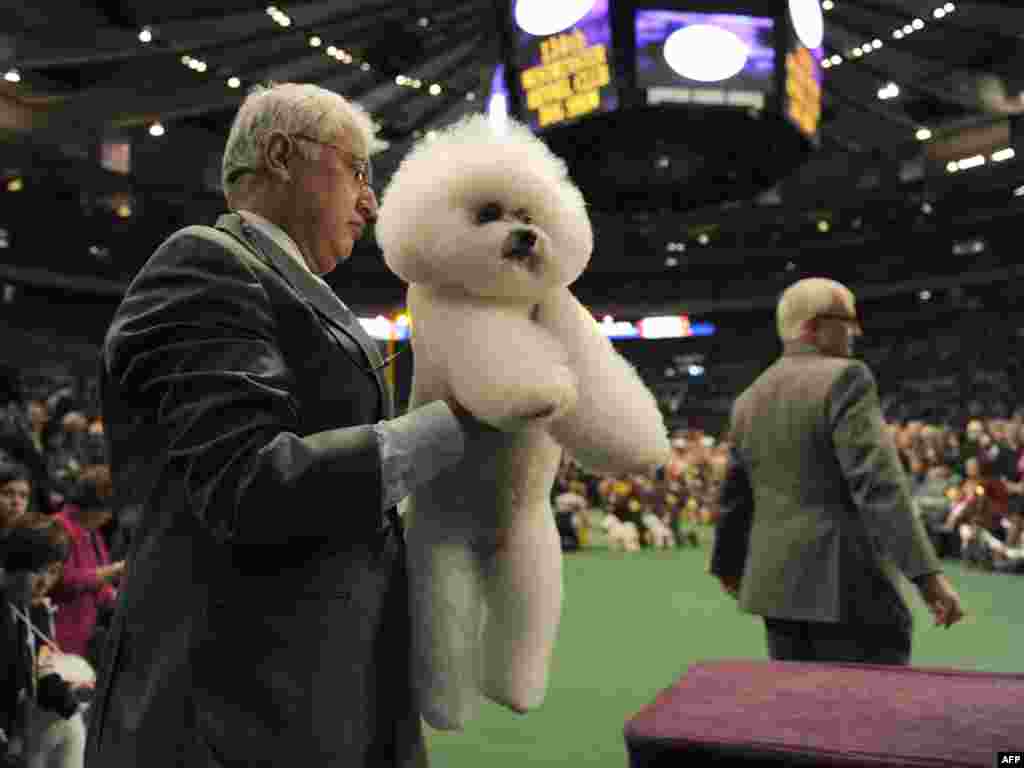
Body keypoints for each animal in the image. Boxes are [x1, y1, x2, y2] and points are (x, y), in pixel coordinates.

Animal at [376, 115, 671, 733]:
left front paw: (642, 443)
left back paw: (517, 693)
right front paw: (542, 396)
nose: (527, 238)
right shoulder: (461, 316)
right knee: (446, 640)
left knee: (521, 629)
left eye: (529, 215)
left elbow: (601, 387)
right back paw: (448, 711)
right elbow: (510, 364)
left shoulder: (561, 311)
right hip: (441, 562)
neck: (506, 299)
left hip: (528, 559)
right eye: (489, 212)